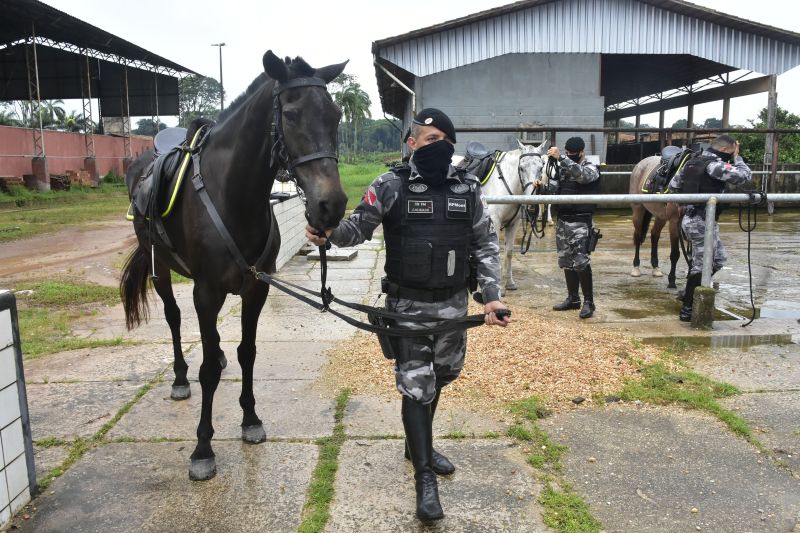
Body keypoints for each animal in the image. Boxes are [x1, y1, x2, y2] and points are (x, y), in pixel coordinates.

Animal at [120, 50, 346, 480]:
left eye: (336, 114)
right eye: (291, 114)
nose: (332, 205)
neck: (232, 196)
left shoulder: (257, 287)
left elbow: (248, 352)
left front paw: (250, 419)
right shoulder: (206, 292)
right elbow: (207, 369)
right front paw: (202, 448)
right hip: (161, 268)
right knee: (174, 317)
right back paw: (179, 377)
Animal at [304, 107, 510, 520]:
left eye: (442, 138)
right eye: (430, 138)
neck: (432, 178)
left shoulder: (480, 215)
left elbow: (484, 240)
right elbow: (417, 399)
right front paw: (426, 494)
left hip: (451, 341)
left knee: (441, 378)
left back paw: (421, 453)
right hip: (412, 334)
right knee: (421, 389)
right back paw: (418, 456)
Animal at [456, 139, 552, 288]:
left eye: (541, 167)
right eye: (521, 168)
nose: (531, 198)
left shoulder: (513, 224)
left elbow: (509, 252)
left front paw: (509, 283)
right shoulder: (494, 223)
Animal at [628, 156, 684, 288]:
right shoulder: (674, 221)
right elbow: (675, 253)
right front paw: (672, 281)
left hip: (661, 215)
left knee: (654, 235)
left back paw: (655, 267)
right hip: (638, 210)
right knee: (638, 236)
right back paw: (636, 267)